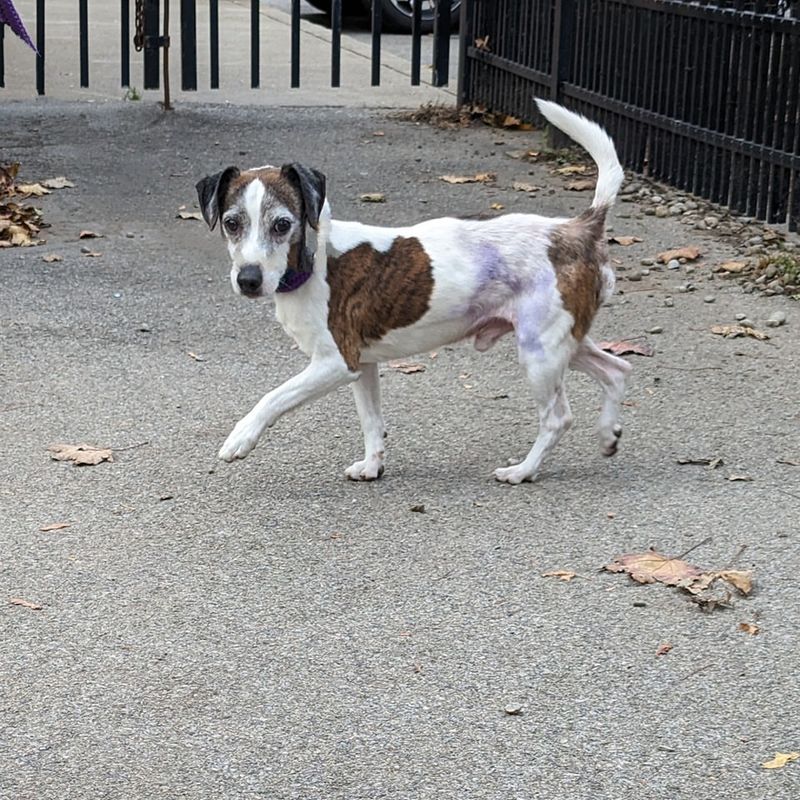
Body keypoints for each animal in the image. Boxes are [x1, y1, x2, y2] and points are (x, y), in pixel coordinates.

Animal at [195, 100, 632, 488]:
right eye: (232, 223)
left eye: (282, 224)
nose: (248, 279)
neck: (315, 261)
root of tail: (578, 229)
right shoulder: (362, 365)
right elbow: (372, 422)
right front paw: (372, 466)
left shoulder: (336, 362)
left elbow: (273, 397)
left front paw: (241, 437)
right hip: (563, 342)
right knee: (617, 369)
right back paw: (608, 433)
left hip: (540, 354)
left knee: (558, 418)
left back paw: (523, 471)